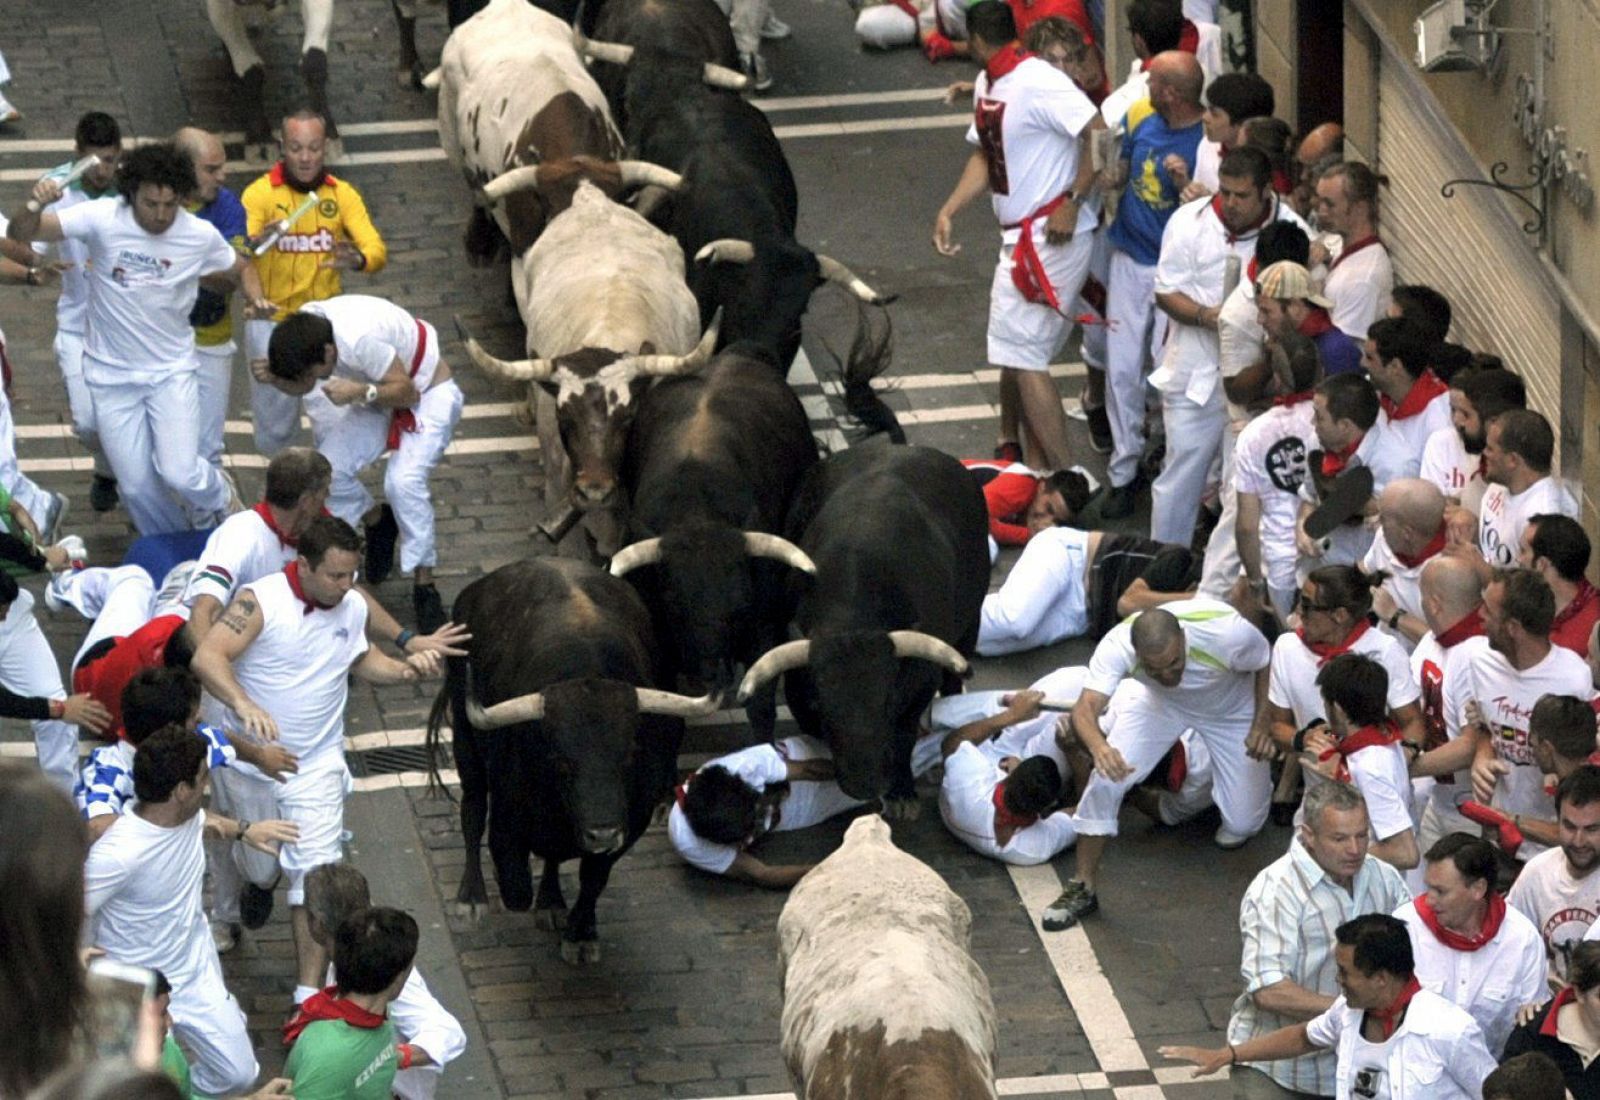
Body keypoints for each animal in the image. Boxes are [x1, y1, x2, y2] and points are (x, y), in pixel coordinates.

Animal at [428, 559, 704, 959]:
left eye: (629, 757)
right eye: (560, 761)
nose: (602, 832)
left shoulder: (631, 821)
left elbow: (593, 877)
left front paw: (579, 932)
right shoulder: (507, 816)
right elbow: (513, 882)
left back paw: (551, 901)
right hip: (466, 743)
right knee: (472, 810)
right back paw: (473, 897)